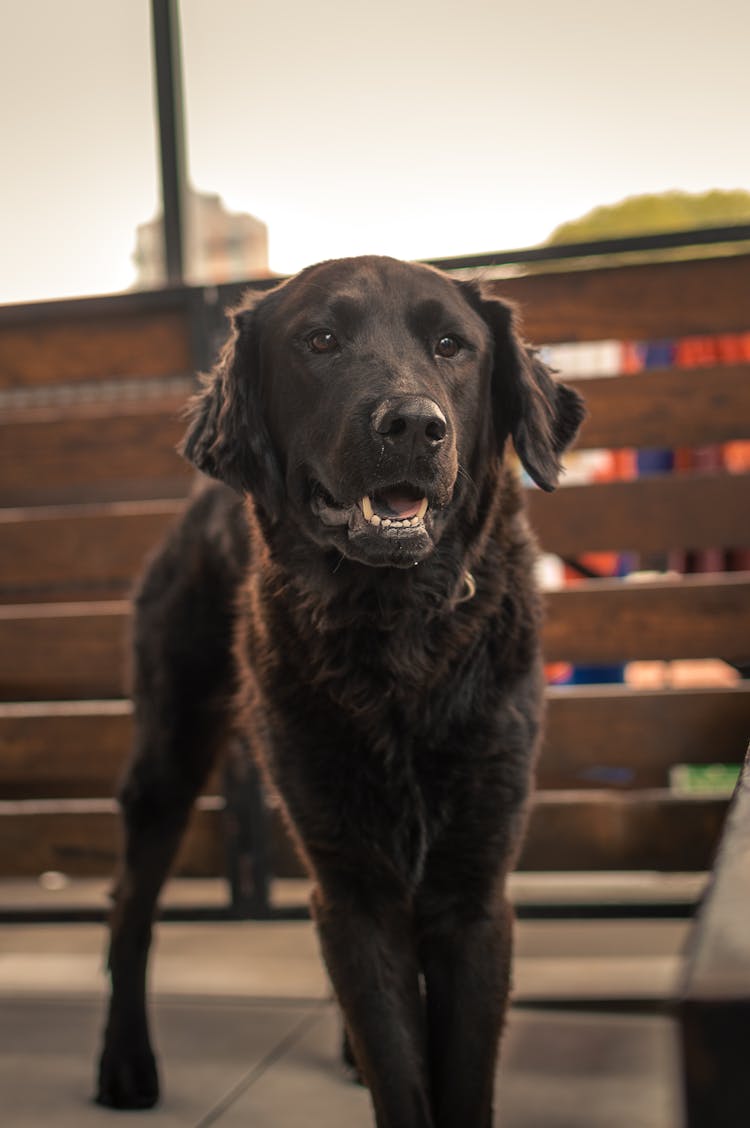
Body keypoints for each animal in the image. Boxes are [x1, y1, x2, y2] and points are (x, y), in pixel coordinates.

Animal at [95, 251, 586, 1123]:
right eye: (320, 340)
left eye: (452, 346)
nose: (414, 426)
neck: (394, 635)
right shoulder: (350, 880)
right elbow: (400, 1070)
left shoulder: (473, 888)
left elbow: (452, 1075)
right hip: (169, 753)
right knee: (131, 907)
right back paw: (125, 1064)